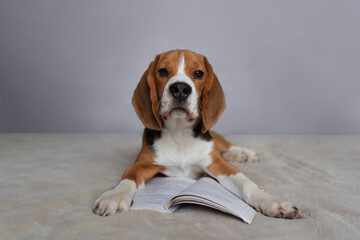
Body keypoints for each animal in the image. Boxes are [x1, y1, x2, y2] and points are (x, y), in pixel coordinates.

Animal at [91, 49, 300, 219]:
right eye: (163, 71)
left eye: (198, 73)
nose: (180, 89)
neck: (179, 133)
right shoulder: (142, 163)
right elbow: (128, 176)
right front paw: (115, 196)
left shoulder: (216, 163)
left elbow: (246, 183)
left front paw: (272, 202)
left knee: (226, 144)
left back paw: (243, 153)